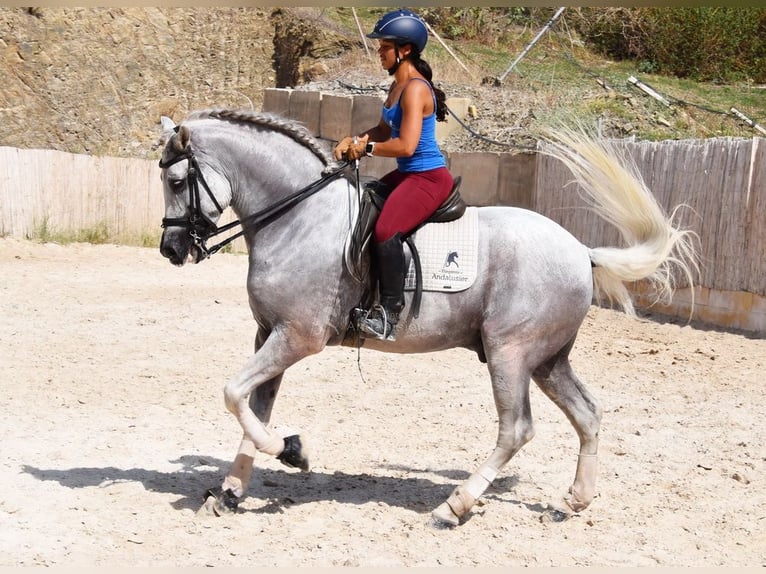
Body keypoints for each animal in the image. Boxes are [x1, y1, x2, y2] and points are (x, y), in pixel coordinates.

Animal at [157, 108, 697, 526]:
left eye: (177, 180)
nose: (170, 250)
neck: (299, 219)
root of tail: (582, 251)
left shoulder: (298, 337)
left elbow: (233, 394)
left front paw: (293, 450)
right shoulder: (268, 334)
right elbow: (253, 408)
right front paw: (231, 490)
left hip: (509, 352)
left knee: (517, 429)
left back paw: (454, 507)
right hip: (547, 359)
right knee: (587, 414)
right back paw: (573, 501)